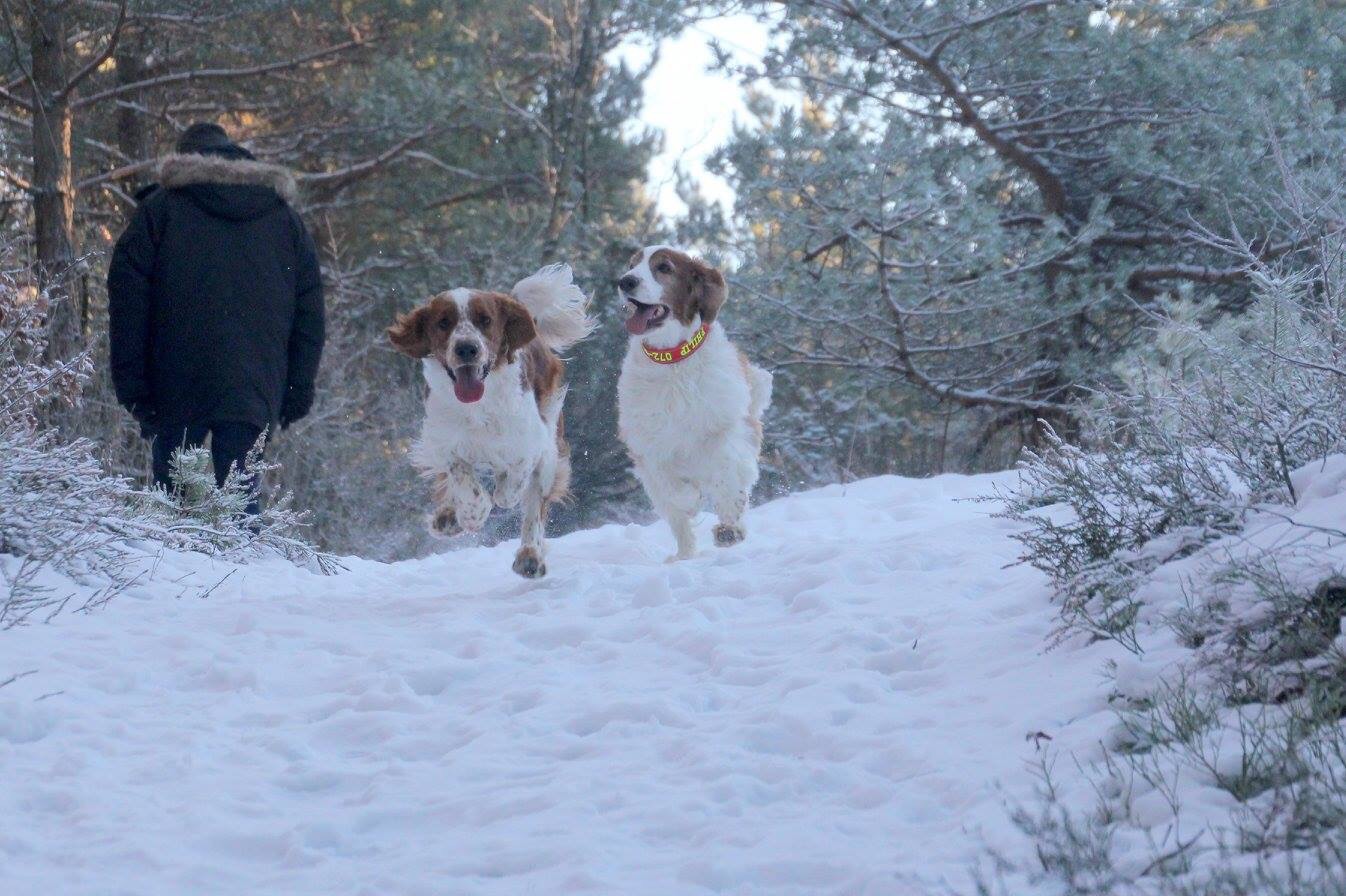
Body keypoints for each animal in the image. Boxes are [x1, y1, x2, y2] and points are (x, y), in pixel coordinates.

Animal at [387, 264, 594, 578]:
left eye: (485, 320)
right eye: (443, 322)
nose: (466, 348)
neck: (478, 406)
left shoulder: (532, 442)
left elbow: (514, 483)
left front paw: (502, 494)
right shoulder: (445, 439)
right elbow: (463, 480)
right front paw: (471, 513)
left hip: (550, 449)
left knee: (533, 509)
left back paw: (530, 558)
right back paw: (449, 518)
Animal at [616, 246, 772, 561]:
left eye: (664, 267)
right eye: (631, 264)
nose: (625, 281)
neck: (673, 362)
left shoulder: (727, 427)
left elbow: (727, 472)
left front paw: (729, 528)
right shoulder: (648, 448)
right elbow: (673, 494)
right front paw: (689, 501)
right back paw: (683, 556)